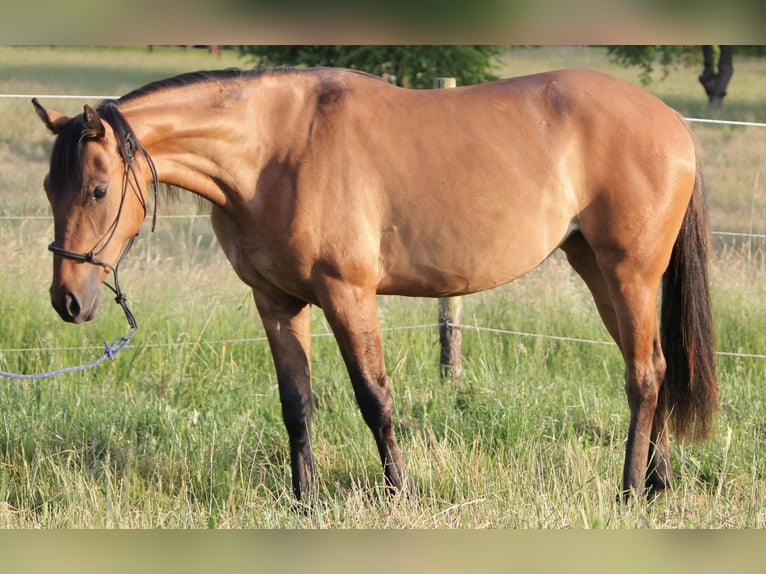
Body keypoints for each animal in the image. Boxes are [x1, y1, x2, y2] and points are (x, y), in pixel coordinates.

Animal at [32, 66, 718, 502]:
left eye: (98, 190)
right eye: (49, 187)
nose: (67, 300)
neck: (276, 152)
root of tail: (674, 125)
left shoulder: (348, 294)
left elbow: (374, 398)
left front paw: (400, 494)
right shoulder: (276, 301)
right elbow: (297, 403)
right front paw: (304, 501)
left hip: (629, 272)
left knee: (644, 375)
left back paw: (628, 491)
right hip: (596, 268)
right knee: (655, 366)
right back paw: (655, 484)